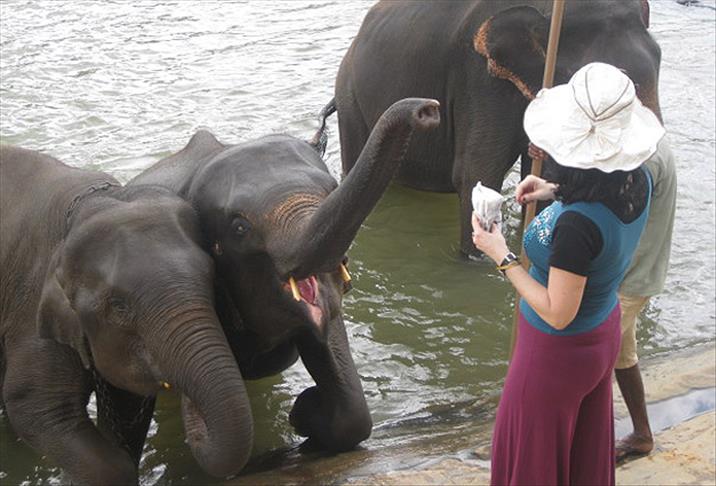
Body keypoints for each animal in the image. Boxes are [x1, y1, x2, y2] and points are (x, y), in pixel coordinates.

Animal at [0, 144, 255, 482]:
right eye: (119, 306)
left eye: (212, 279)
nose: (192, 411)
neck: (88, 203)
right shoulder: (29, 308)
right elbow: (35, 407)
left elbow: (126, 405)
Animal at [130, 98, 442, 452]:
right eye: (239, 228)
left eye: (333, 188)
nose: (428, 110)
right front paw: (305, 412)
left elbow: (328, 341)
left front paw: (304, 413)